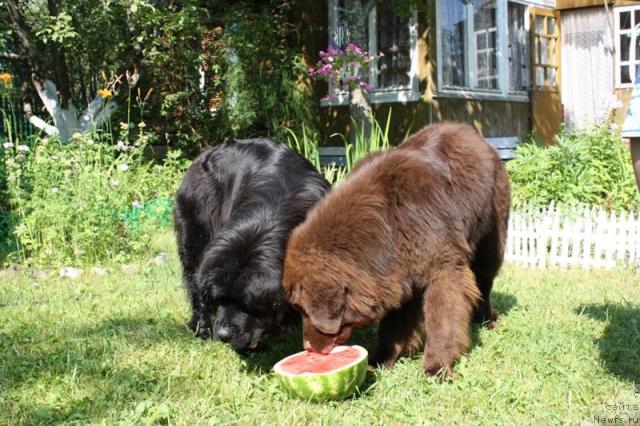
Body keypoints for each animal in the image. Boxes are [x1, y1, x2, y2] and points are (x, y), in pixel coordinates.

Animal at [284, 120, 510, 376]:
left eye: (304, 310)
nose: (307, 347)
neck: (388, 225)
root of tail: (467, 130)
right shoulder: (396, 275)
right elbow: (393, 325)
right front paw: (380, 360)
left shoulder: (444, 269)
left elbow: (441, 319)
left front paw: (438, 366)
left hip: (491, 241)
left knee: (484, 281)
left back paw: (486, 320)